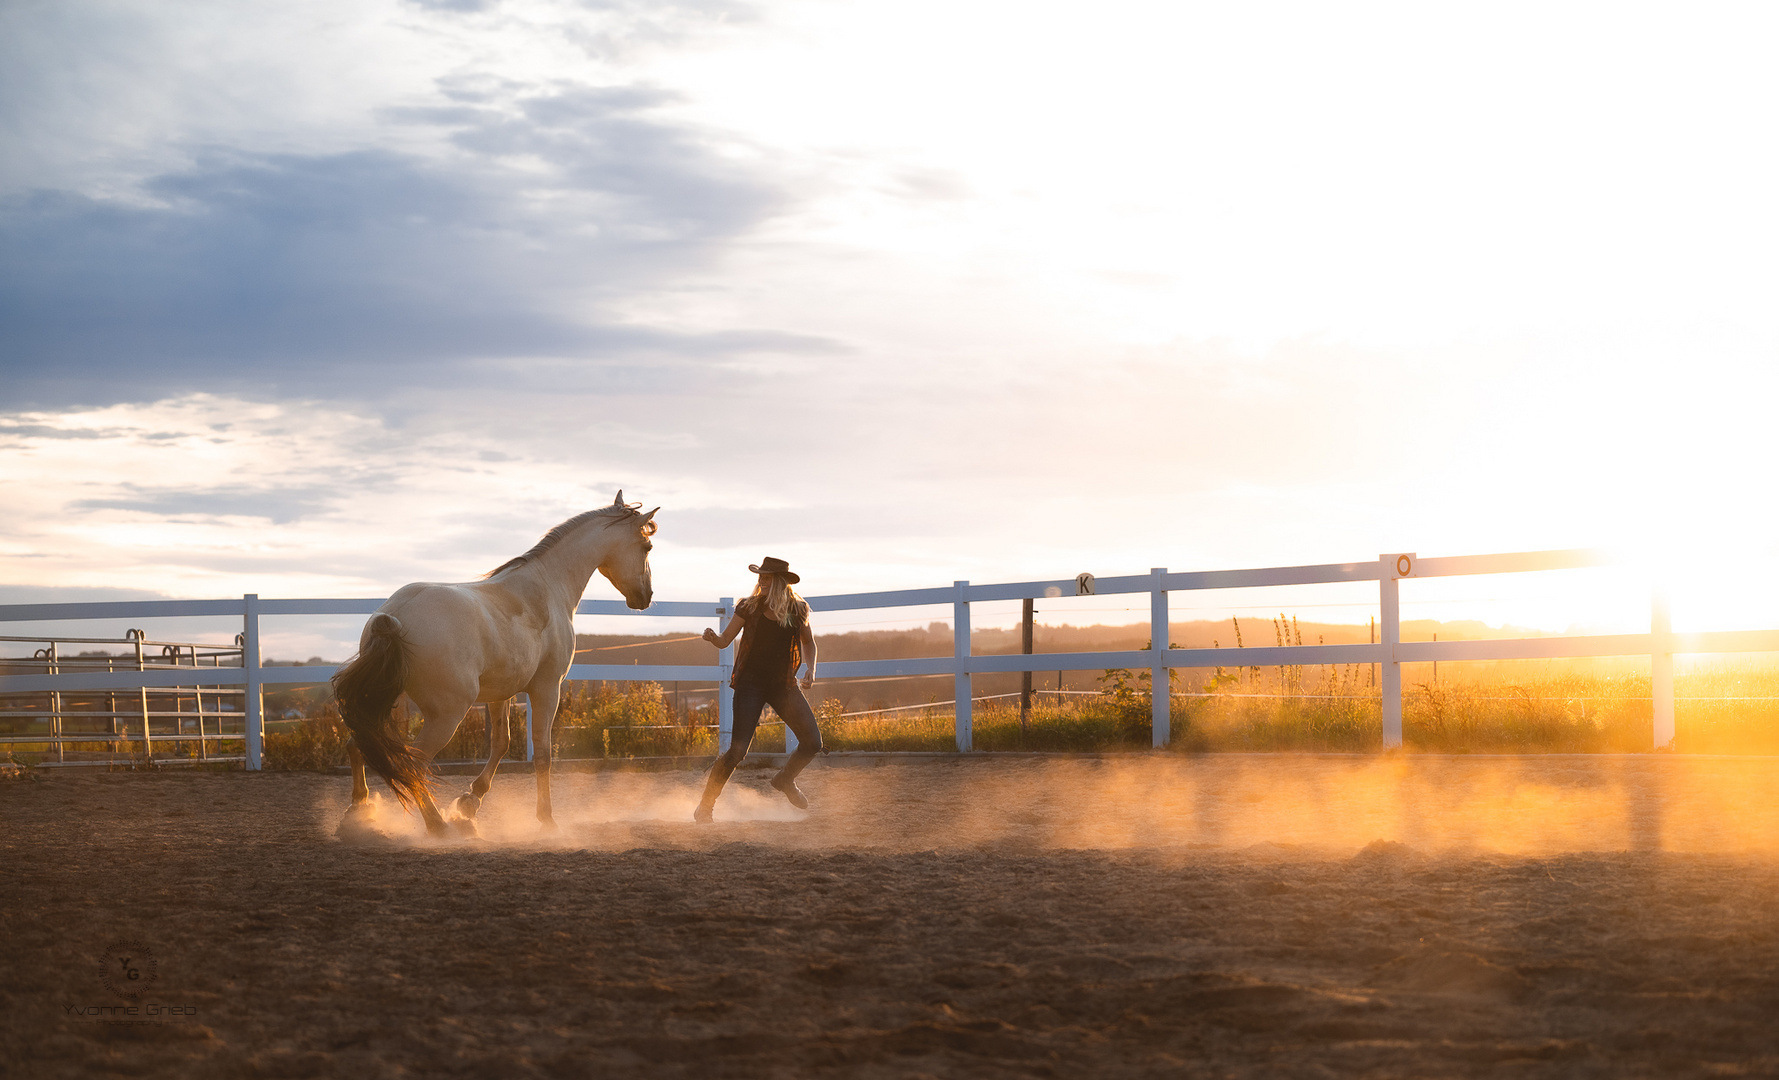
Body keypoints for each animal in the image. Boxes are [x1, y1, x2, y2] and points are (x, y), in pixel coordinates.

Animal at [330, 491, 658, 836]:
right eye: (647, 547)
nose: (646, 596)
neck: (547, 586)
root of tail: (393, 616)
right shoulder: (546, 689)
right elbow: (543, 753)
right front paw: (546, 819)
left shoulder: (501, 694)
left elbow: (501, 743)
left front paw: (469, 804)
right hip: (446, 715)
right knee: (414, 763)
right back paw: (437, 826)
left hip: (382, 701)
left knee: (357, 745)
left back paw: (359, 813)